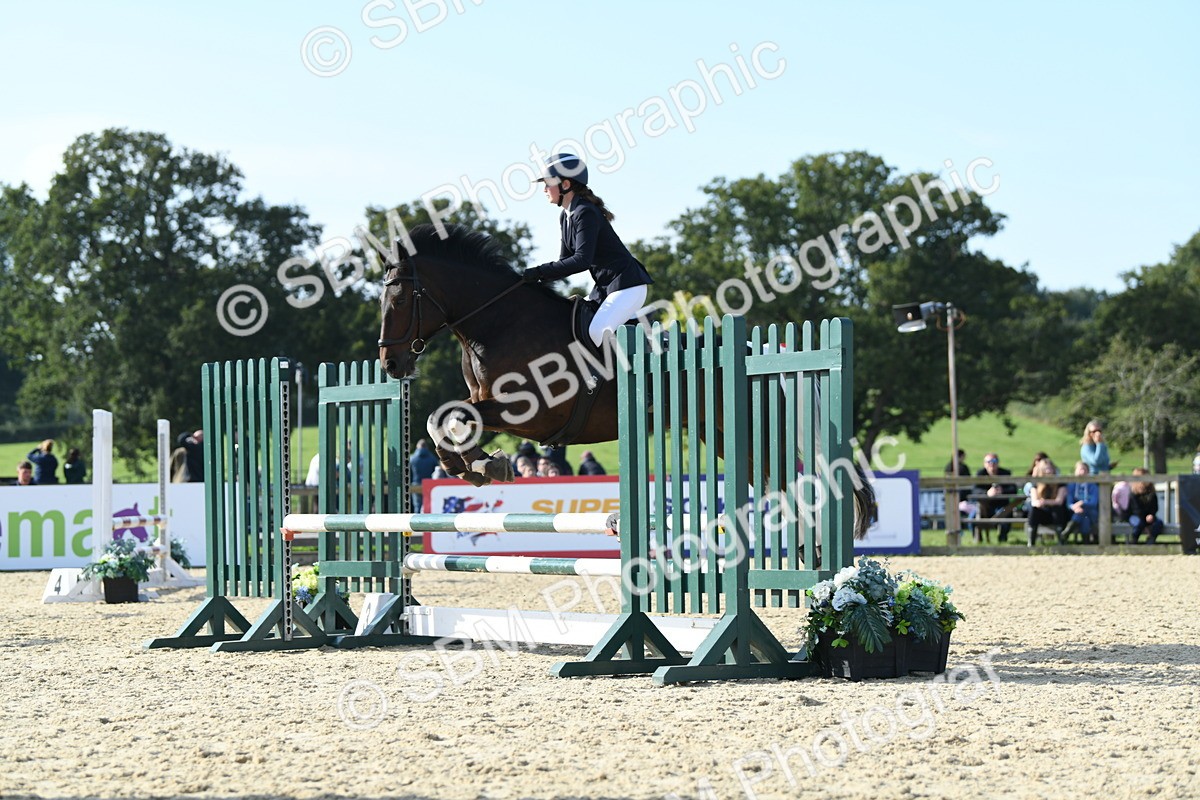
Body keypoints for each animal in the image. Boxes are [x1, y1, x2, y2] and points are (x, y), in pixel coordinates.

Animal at [378, 224, 875, 537]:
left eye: (399, 299)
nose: (390, 364)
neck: (499, 322)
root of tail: (764, 354)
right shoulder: (490, 404)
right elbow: (443, 419)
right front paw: (471, 466)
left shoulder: (530, 413)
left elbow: (450, 418)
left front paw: (486, 465)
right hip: (722, 435)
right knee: (776, 488)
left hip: (757, 433)